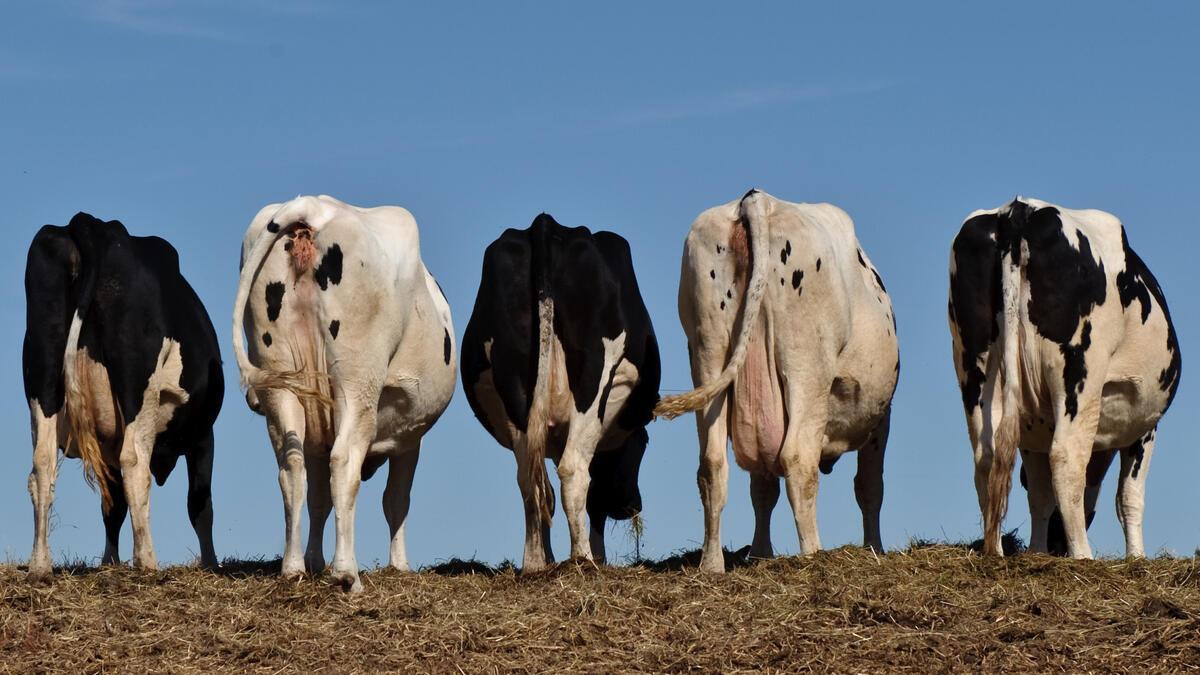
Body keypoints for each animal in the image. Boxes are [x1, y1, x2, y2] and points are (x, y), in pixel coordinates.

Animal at [23, 212, 225, 581]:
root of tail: (91, 222)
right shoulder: (204, 434)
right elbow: (200, 502)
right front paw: (210, 564)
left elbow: (112, 505)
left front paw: (109, 562)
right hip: (137, 384)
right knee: (135, 464)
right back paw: (147, 561)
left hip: (42, 375)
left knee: (42, 465)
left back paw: (40, 565)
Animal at [231, 193, 456, 588]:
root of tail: (309, 205)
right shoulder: (410, 437)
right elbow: (396, 499)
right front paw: (399, 565)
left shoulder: (317, 435)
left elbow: (319, 497)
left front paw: (312, 560)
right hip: (356, 380)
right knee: (345, 462)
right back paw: (347, 574)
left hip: (282, 382)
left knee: (291, 468)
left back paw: (292, 568)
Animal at [460, 211, 667, 566]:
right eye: (642, 445)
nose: (632, 506)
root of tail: (545, 224)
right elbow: (594, 499)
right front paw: (597, 556)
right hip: (594, 374)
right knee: (572, 470)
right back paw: (582, 559)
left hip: (513, 385)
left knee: (531, 479)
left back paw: (533, 564)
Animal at [657, 189, 902, 571]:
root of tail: (756, 199)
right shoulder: (882, 416)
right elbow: (870, 486)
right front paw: (874, 548)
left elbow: (762, 489)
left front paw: (760, 553)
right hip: (805, 365)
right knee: (799, 461)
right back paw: (814, 555)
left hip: (708, 351)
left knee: (713, 464)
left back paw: (711, 564)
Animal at [950, 195, 1185, 557]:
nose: (1057, 545)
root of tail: (1019, 209)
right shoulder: (1145, 427)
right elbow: (1129, 497)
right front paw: (1136, 558)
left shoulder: (1034, 433)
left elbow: (1039, 496)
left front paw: (1037, 552)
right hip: (1078, 370)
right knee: (1067, 459)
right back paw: (1083, 556)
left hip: (974, 368)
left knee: (986, 459)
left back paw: (996, 552)